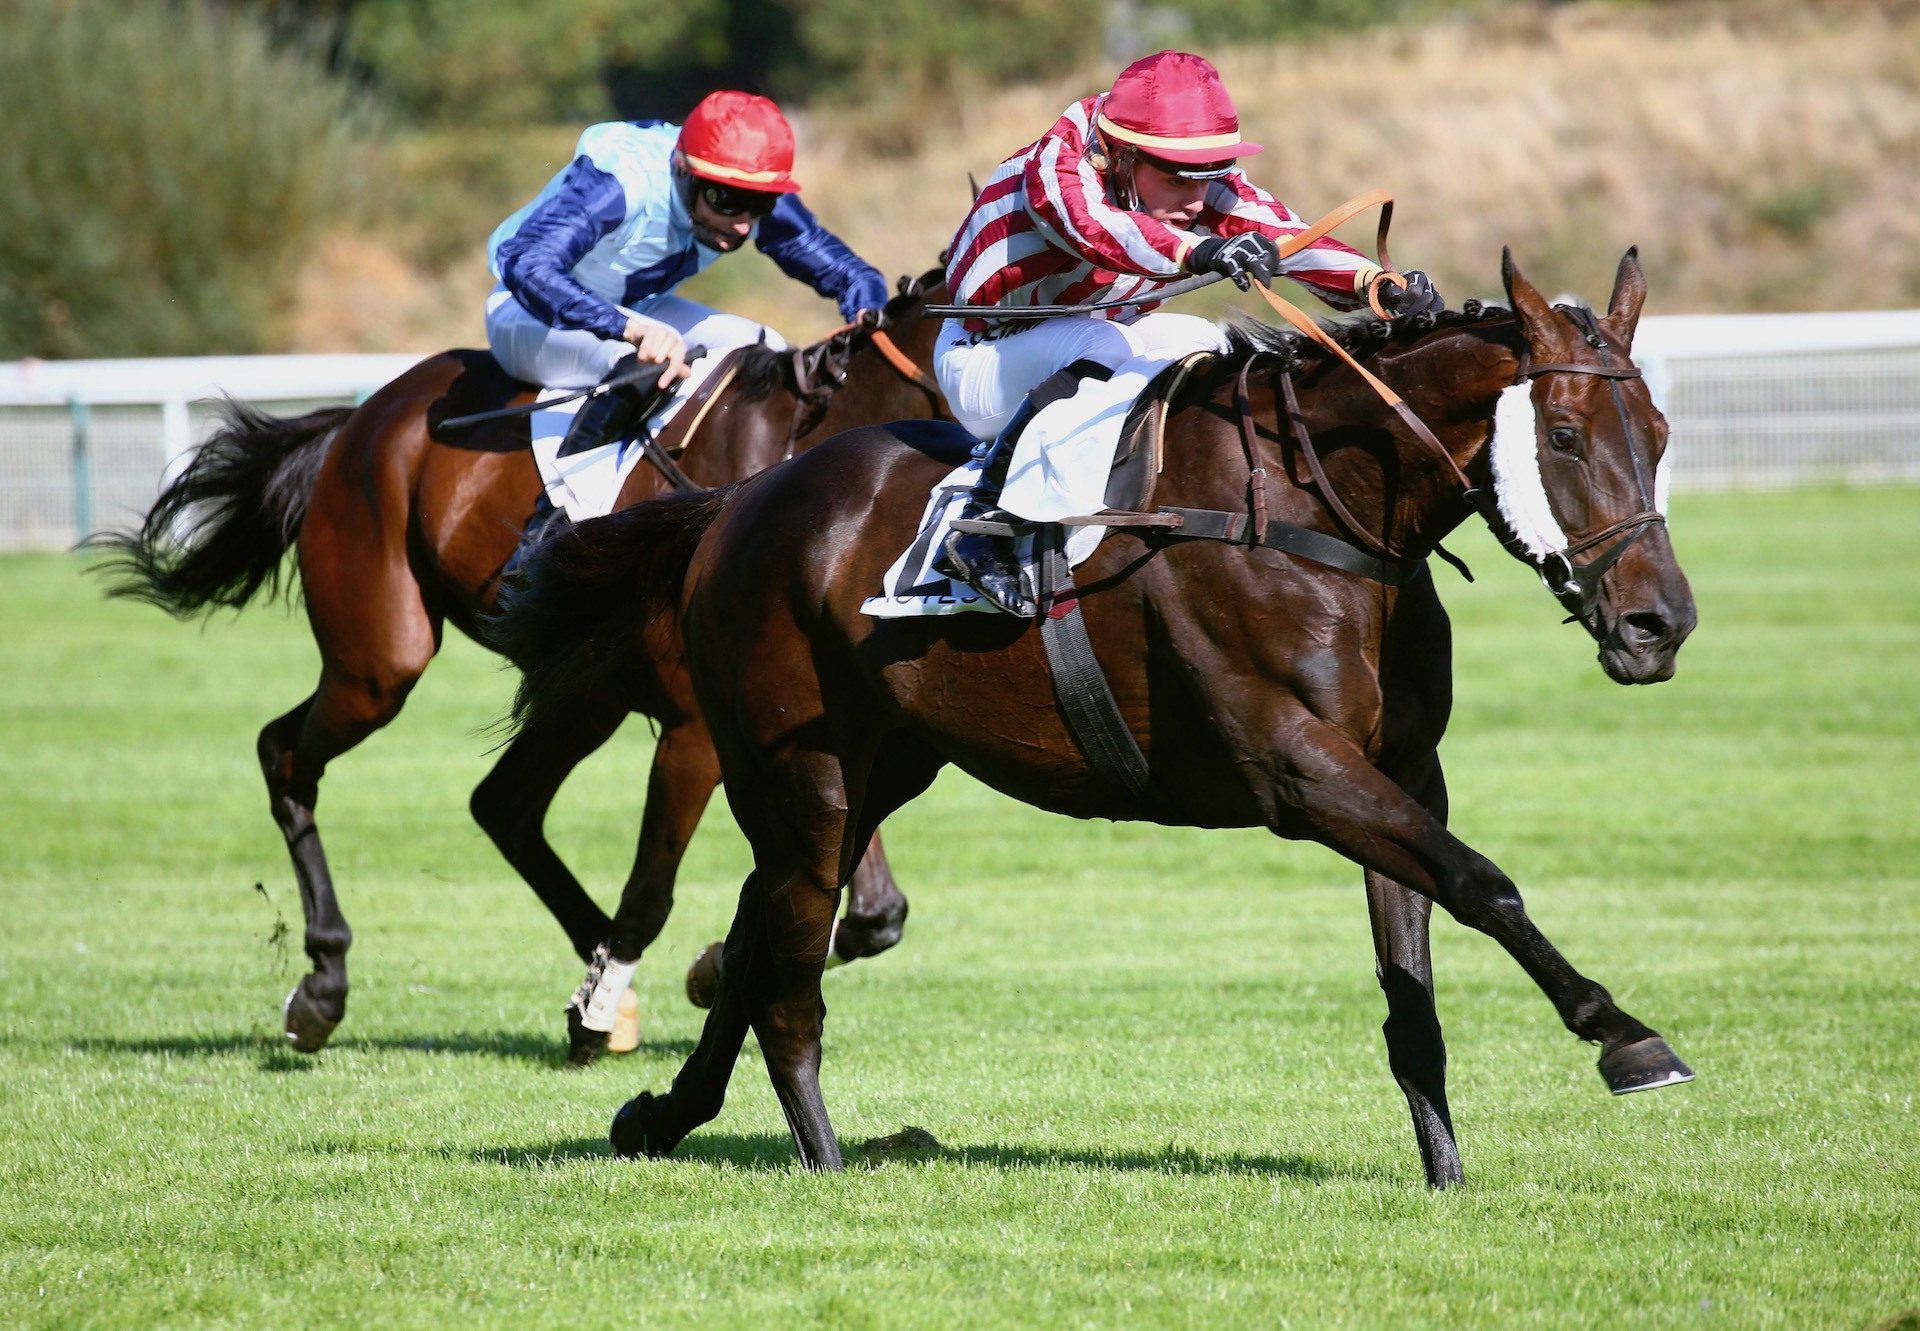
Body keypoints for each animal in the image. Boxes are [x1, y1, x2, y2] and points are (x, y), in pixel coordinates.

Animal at [97, 266, 952, 1060]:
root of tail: (359, 420)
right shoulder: (695, 733)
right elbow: (657, 888)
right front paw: (621, 998)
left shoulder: (813, 727)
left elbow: (870, 910)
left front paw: (707, 967)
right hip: (380, 662)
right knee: (287, 753)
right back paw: (326, 984)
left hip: (584, 691)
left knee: (501, 803)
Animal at [491, 251, 1697, 1183]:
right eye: (1567, 435)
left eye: (1660, 429)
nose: (1660, 622)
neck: (1320, 513)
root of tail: (739, 501)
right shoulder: (1297, 771)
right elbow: (1484, 881)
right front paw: (1626, 1035)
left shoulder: (1399, 767)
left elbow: (1418, 973)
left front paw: (1445, 1166)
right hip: (803, 769)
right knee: (786, 959)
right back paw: (819, 1150)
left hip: (886, 763)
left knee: (756, 925)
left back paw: (665, 1112)